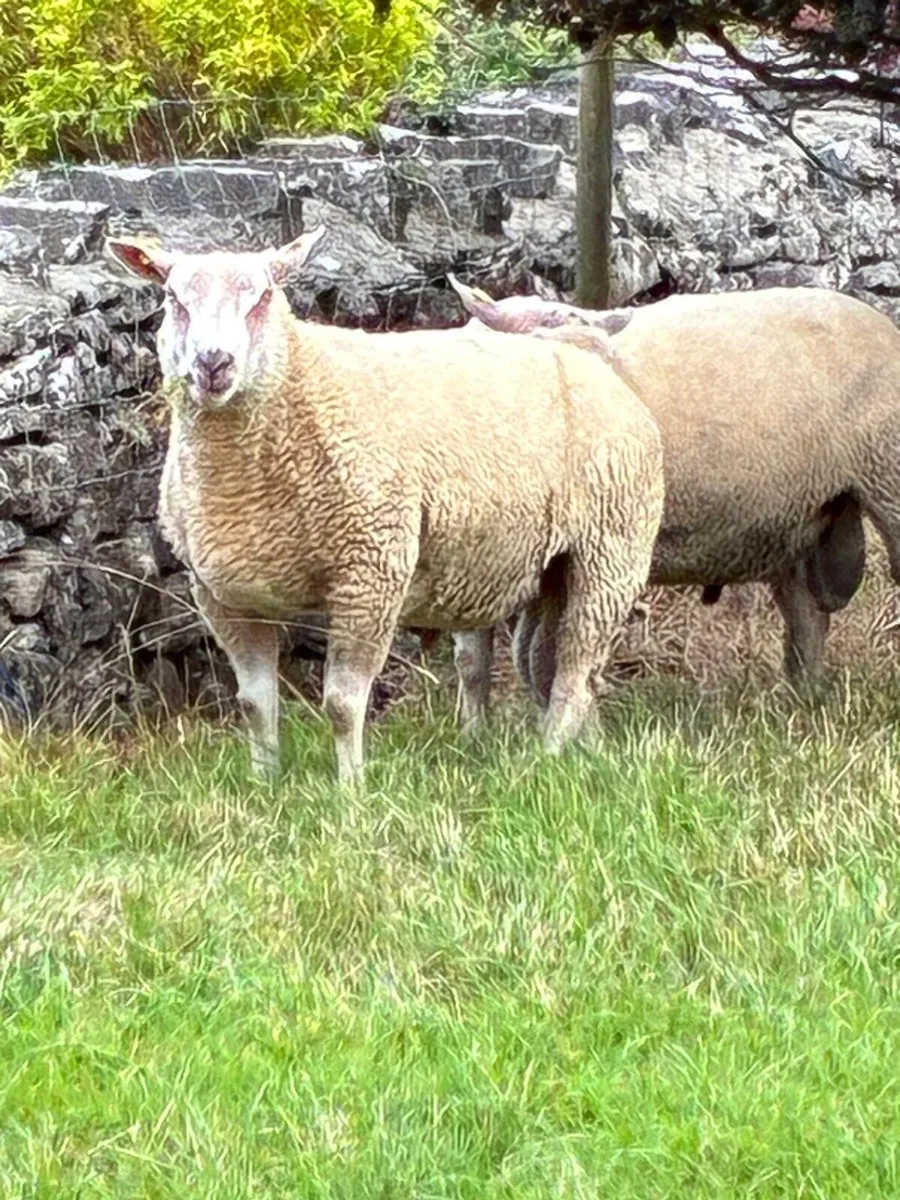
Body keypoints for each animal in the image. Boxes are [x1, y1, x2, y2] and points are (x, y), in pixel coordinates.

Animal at [106, 232, 665, 783]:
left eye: (263, 296)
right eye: (173, 298)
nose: (213, 364)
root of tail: (586, 361)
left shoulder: (370, 574)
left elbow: (342, 704)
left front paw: (351, 792)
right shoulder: (224, 597)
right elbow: (255, 705)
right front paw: (264, 785)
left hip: (612, 552)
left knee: (574, 672)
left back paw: (543, 760)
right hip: (556, 566)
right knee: (564, 667)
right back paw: (584, 752)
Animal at [447, 276, 900, 702]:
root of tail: (878, 320)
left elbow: (548, 656)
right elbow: (478, 661)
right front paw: (478, 728)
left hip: (885, 479)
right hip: (799, 519)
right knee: (806, 616)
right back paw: (805, 698)